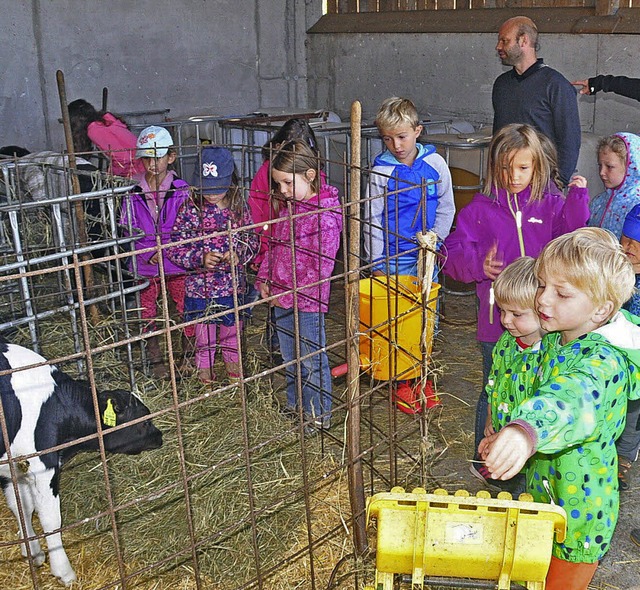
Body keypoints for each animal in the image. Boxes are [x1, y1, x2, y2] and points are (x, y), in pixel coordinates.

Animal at [0, 340, 162, 584]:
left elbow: (21, 506)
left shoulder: (12, 465)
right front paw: (63, 570)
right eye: (144, 421)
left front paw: (34, 553)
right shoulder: (43, 464)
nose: (160, 436)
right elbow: (49, 518)